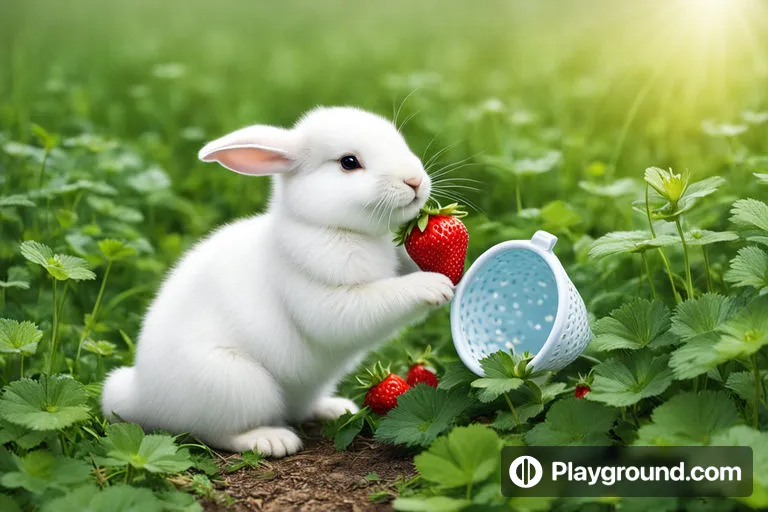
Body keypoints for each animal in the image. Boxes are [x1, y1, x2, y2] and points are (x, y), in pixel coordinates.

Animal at [99, 107, 452, 456]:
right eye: (349, 162)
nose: (415, 181)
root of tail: (140, 395)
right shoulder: (332, 302)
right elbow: (378, 300)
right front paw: (435, 287)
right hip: (237, 385)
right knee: (215, 433)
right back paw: (270, 440)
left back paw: (335, 408)